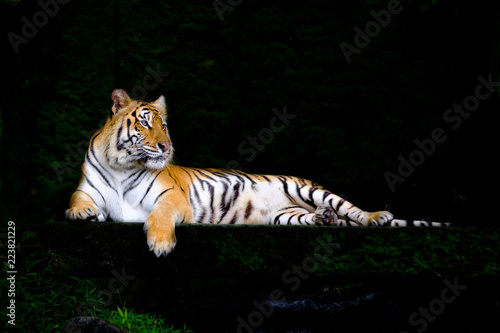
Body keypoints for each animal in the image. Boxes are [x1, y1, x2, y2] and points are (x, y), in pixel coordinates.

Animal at [64, 89, 452, 256]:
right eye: (145, 124)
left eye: (165, 126)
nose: (165, 147)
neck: (121, 165)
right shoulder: (88, 187)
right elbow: (77, 199)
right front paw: (80, 214)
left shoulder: (172, 198)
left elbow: (159, 214)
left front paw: (160, 243)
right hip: (286, 217)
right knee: (328, 219)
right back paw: (325, 220)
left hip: (310, 189)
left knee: (353, 211)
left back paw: (375, 216)